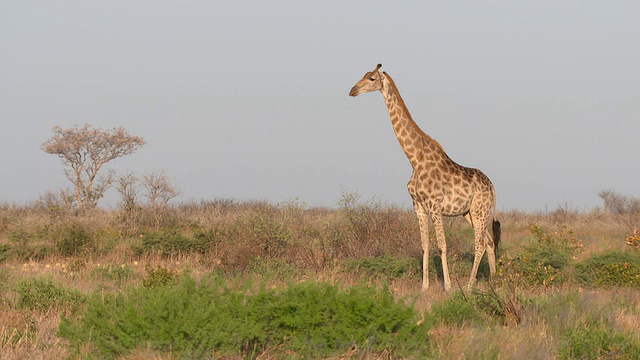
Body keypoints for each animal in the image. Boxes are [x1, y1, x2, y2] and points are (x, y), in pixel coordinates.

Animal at [350, 63, 500, 292]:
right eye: (364, 75)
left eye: (372, 78)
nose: (352, 90)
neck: (414, 159)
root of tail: (493, 187)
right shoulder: (418, 206)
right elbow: (425, 245)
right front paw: (424, 286)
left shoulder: (435, 205)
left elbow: (442, 245)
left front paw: (447, 286)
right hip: (469, 213)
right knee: (490, 241)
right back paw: (493, 280)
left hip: (480, 209)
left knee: (481, 243)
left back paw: (468, 285)